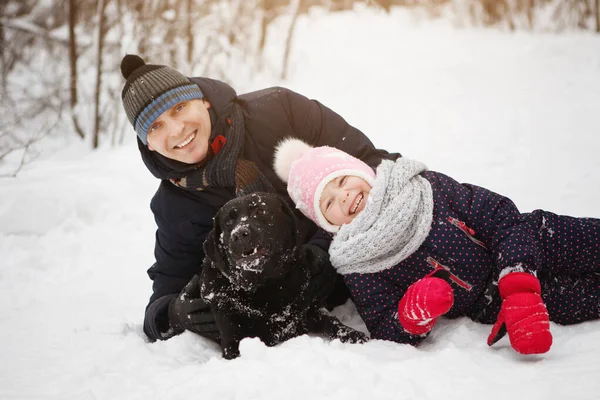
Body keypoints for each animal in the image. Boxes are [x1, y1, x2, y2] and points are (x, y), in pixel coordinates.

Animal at [199, 192, 368, 358]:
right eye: (228, 223)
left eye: (261, 211)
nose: (239, 234)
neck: (265, 287)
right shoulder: (231, 336)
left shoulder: (311, 308)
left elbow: (333, 323)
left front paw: (355, 336)